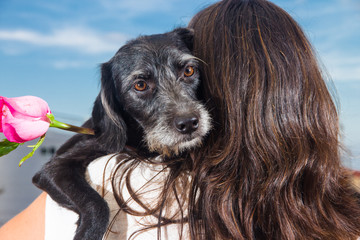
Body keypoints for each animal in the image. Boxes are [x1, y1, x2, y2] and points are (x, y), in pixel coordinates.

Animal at [32, 28, 211, 240]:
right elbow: (97, 204)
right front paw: (88, 233)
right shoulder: (55, 167)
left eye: (189, 71)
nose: (189, 123)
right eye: (140, 85)